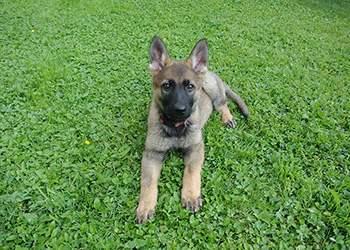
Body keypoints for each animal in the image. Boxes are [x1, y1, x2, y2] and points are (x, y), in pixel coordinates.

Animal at [135, 34, 249, 223]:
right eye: (166, 86)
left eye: (190, 87)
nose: (180, 110)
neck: (175, 126)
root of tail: (210, 72)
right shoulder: (152, 153)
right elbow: (148, 182)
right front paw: (145, 206)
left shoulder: (195, 148)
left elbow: (191, 172)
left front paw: (190, 195)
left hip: (212, 88)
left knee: (223, 104)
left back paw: (228, 118)